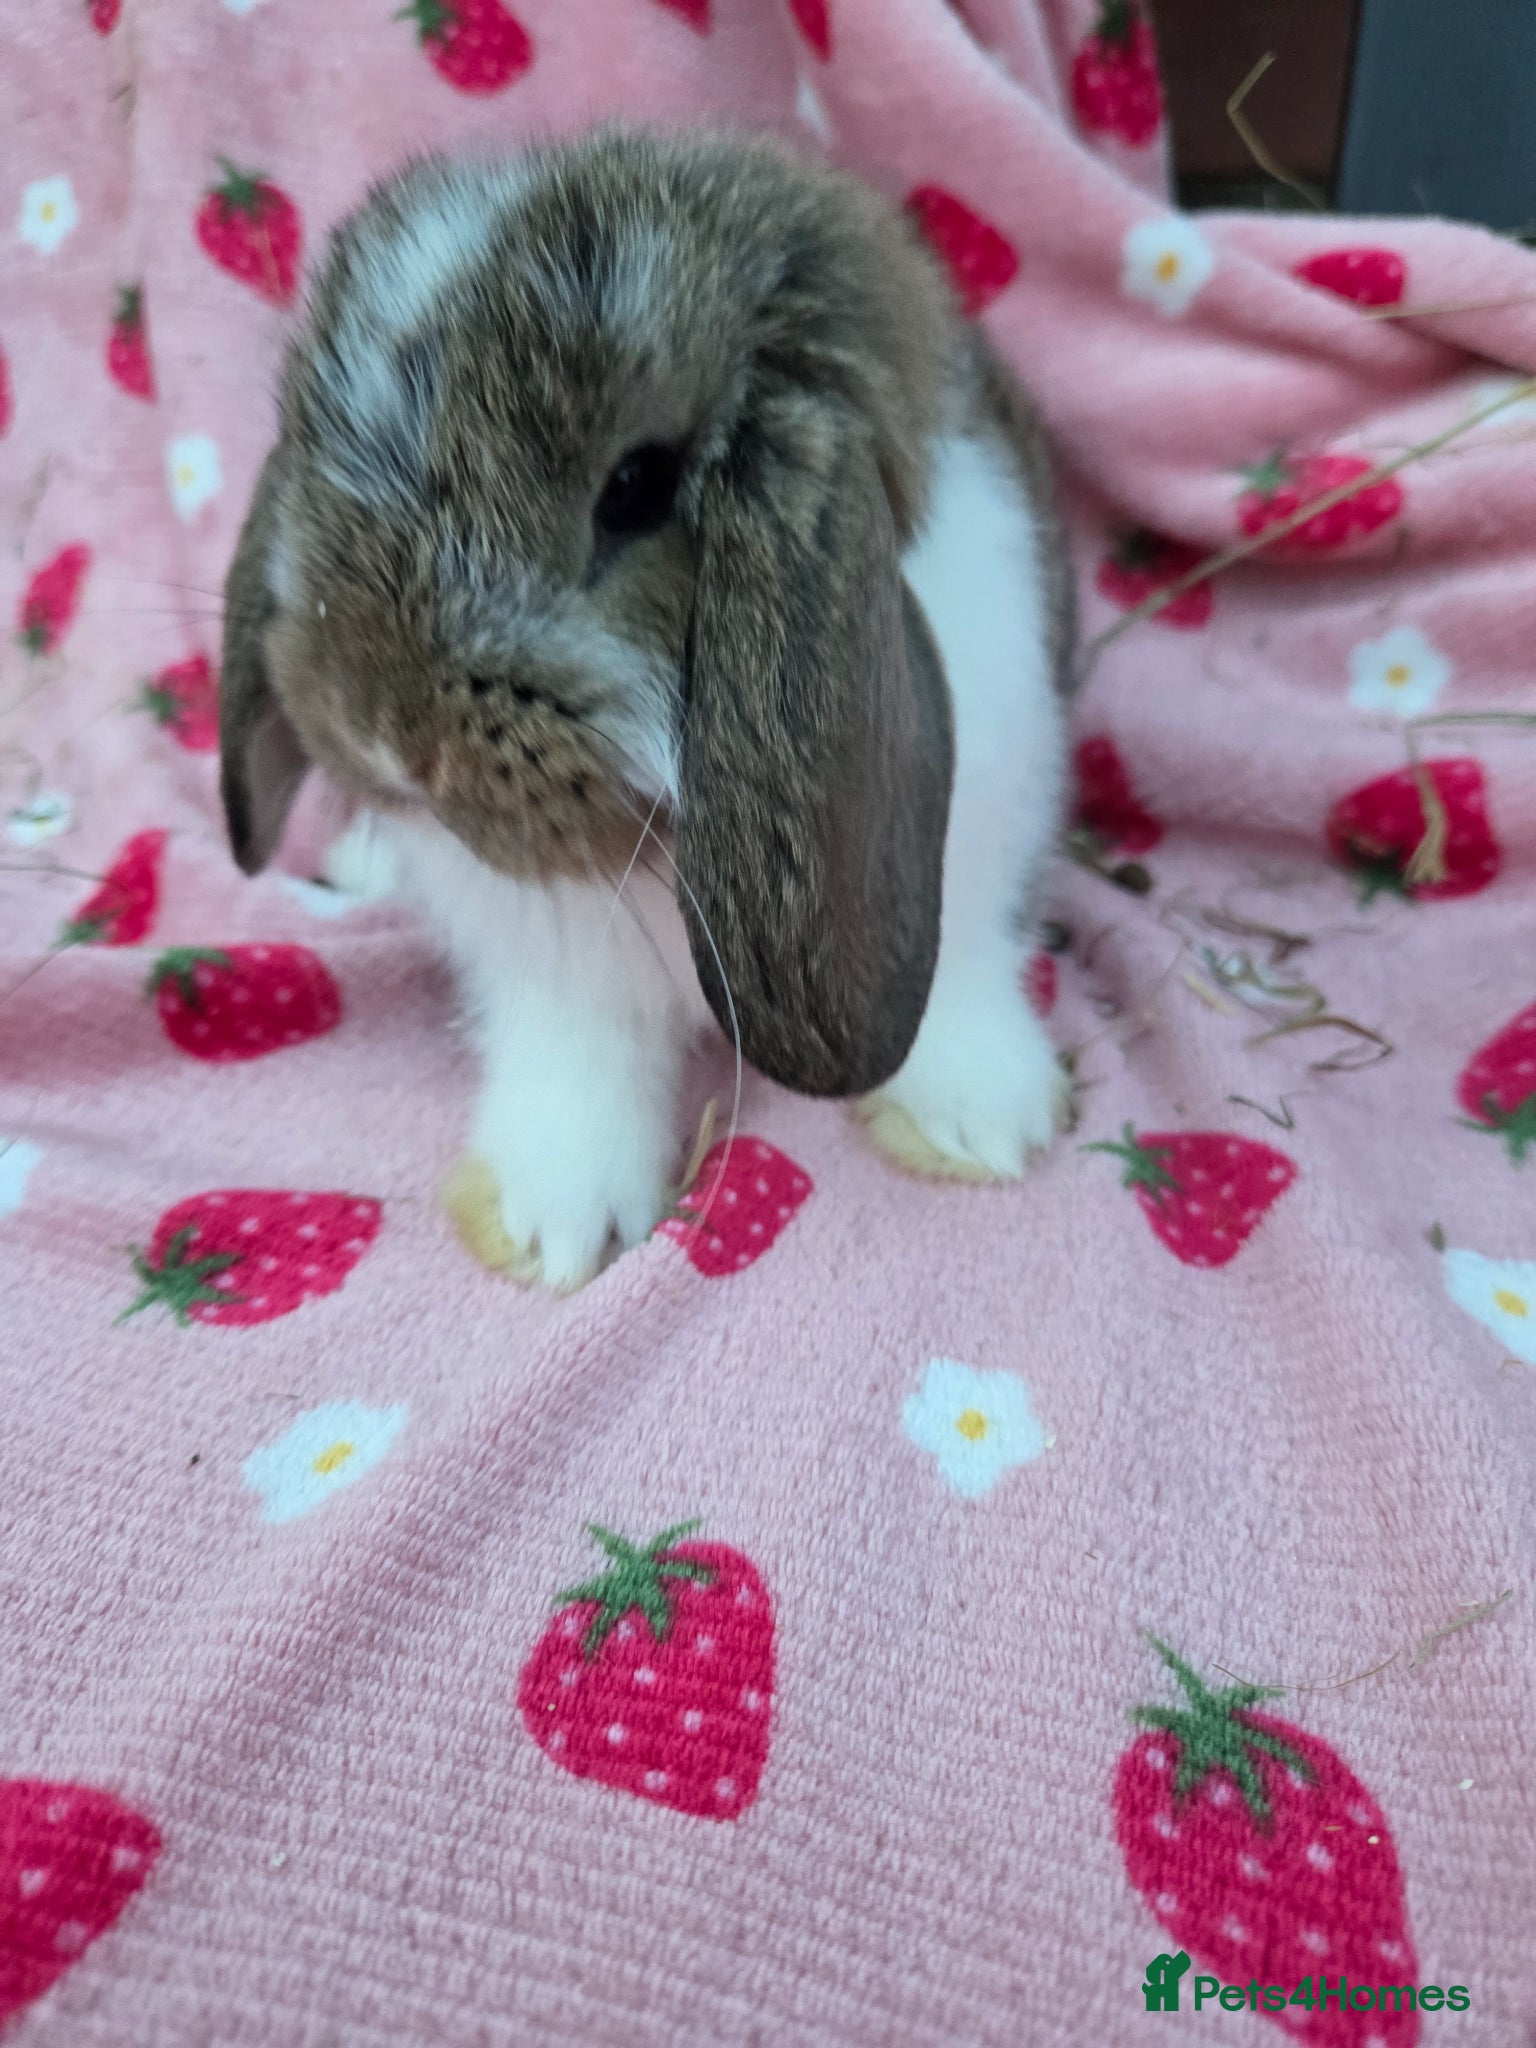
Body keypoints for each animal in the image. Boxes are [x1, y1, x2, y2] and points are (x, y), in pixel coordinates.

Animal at [219, 124, 1076, 1293]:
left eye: (637, 485)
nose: (375, 728)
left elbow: (968, 964)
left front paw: (975, 1122)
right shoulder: (552, 971)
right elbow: (580, 1054)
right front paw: (551, 1219)